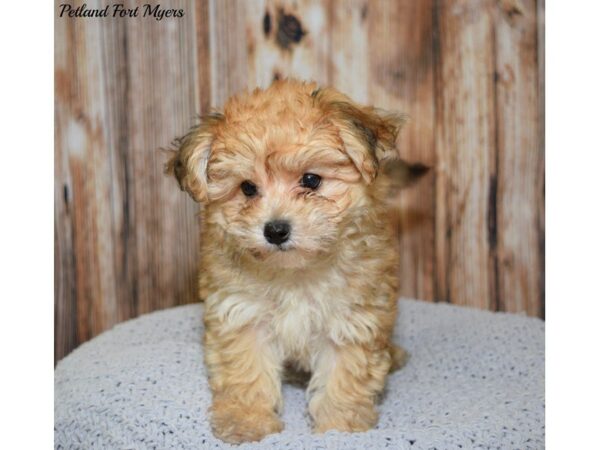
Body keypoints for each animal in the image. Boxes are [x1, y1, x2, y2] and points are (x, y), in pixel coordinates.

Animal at [164, 78, 426, 442]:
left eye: (311, 180)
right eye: (247, 188)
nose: (275, 230)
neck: (295, 273)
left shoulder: (350, 321)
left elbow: (343, 378)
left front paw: (339, 428)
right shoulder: (242, 314)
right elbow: (247, 371)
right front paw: (247, 421)